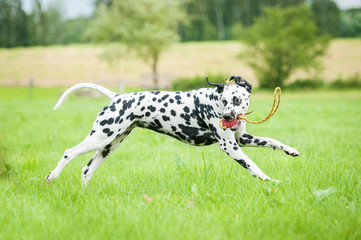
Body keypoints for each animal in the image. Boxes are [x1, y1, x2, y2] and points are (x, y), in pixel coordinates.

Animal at [45, 75, 298, 186]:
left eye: (236, 99)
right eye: (224, 100)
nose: (226, 117)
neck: (213, 101)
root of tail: (117, 97)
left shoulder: (243, 138)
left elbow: (272, 140)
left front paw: (290, 150)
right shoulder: (230, 146)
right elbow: (253, 166)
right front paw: (270, 180)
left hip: (108, 146)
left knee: (86, 169)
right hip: (99, 138)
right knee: (68, 153)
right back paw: (52, 176)